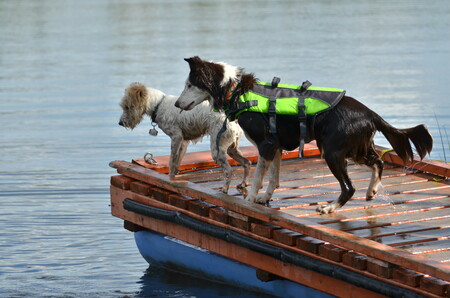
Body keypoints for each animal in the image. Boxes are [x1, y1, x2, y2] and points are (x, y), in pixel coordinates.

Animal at [175, 56, 432, 214]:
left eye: (189, 85)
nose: (177, 104)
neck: (237, 91)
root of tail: (370, 113)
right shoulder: (276, 145)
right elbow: (274, 178)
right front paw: (264, 198)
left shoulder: (266, 144)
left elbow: (258, 178)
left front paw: (249, 200)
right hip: (354, 148)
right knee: (378, 162)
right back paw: (371, 191)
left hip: (332, 151)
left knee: (349, 187)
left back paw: (329, 208)